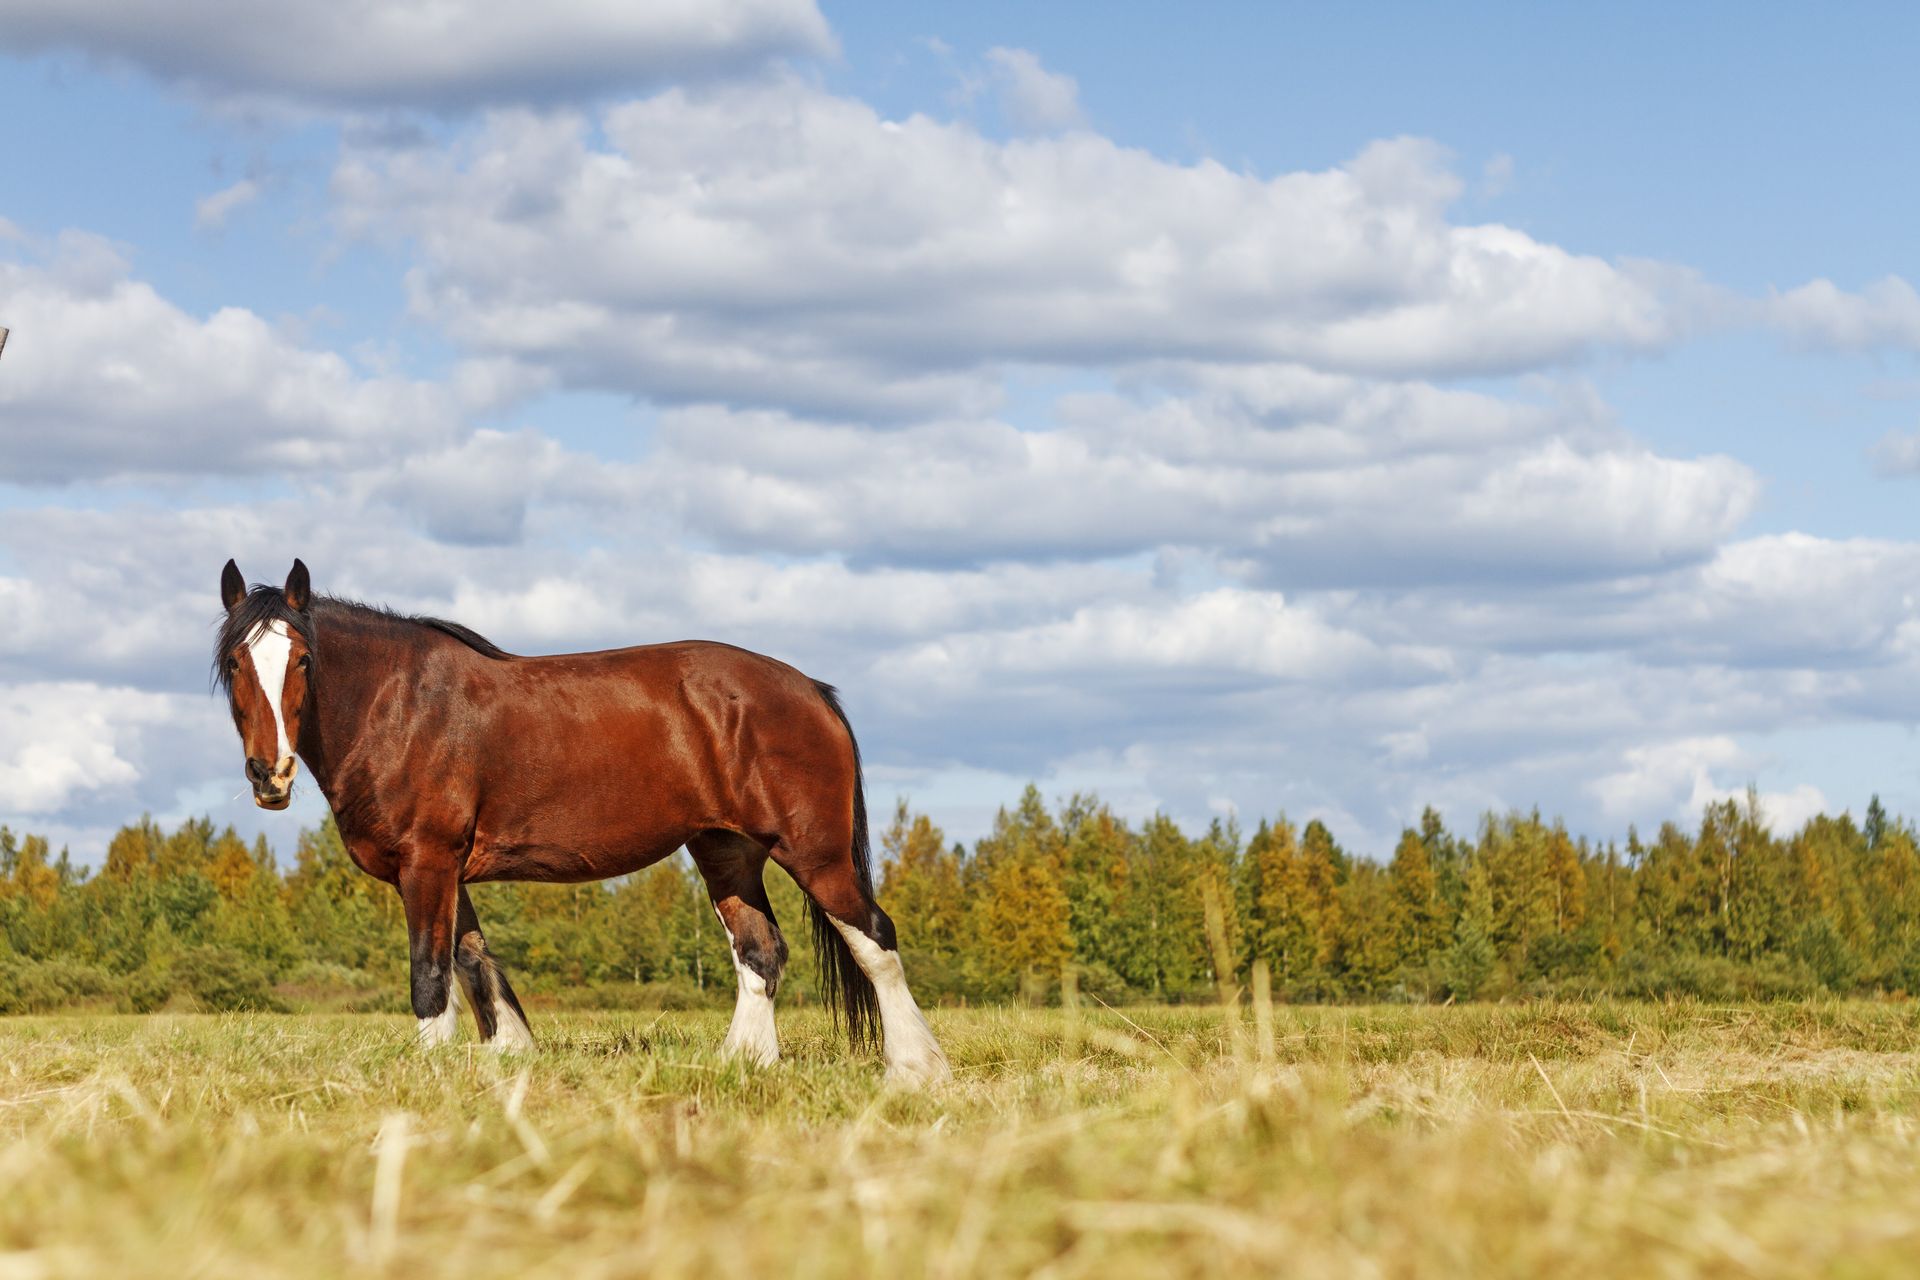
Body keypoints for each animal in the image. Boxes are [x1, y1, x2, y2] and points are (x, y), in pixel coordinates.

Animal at [213, 558, 950, 1085]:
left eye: (303, 660)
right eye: (234, 662)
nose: (269, 774)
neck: (401, 705)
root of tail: (810, 691)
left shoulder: (428, 862)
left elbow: (430, 974)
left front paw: (430, 1077)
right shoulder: (447, 871)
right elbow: (476, 962)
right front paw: (508, 1057)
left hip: (815, 851)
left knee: (875, 939)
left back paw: (916, 1070)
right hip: (726, 851)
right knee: (759, 951)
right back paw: (743, 1067)